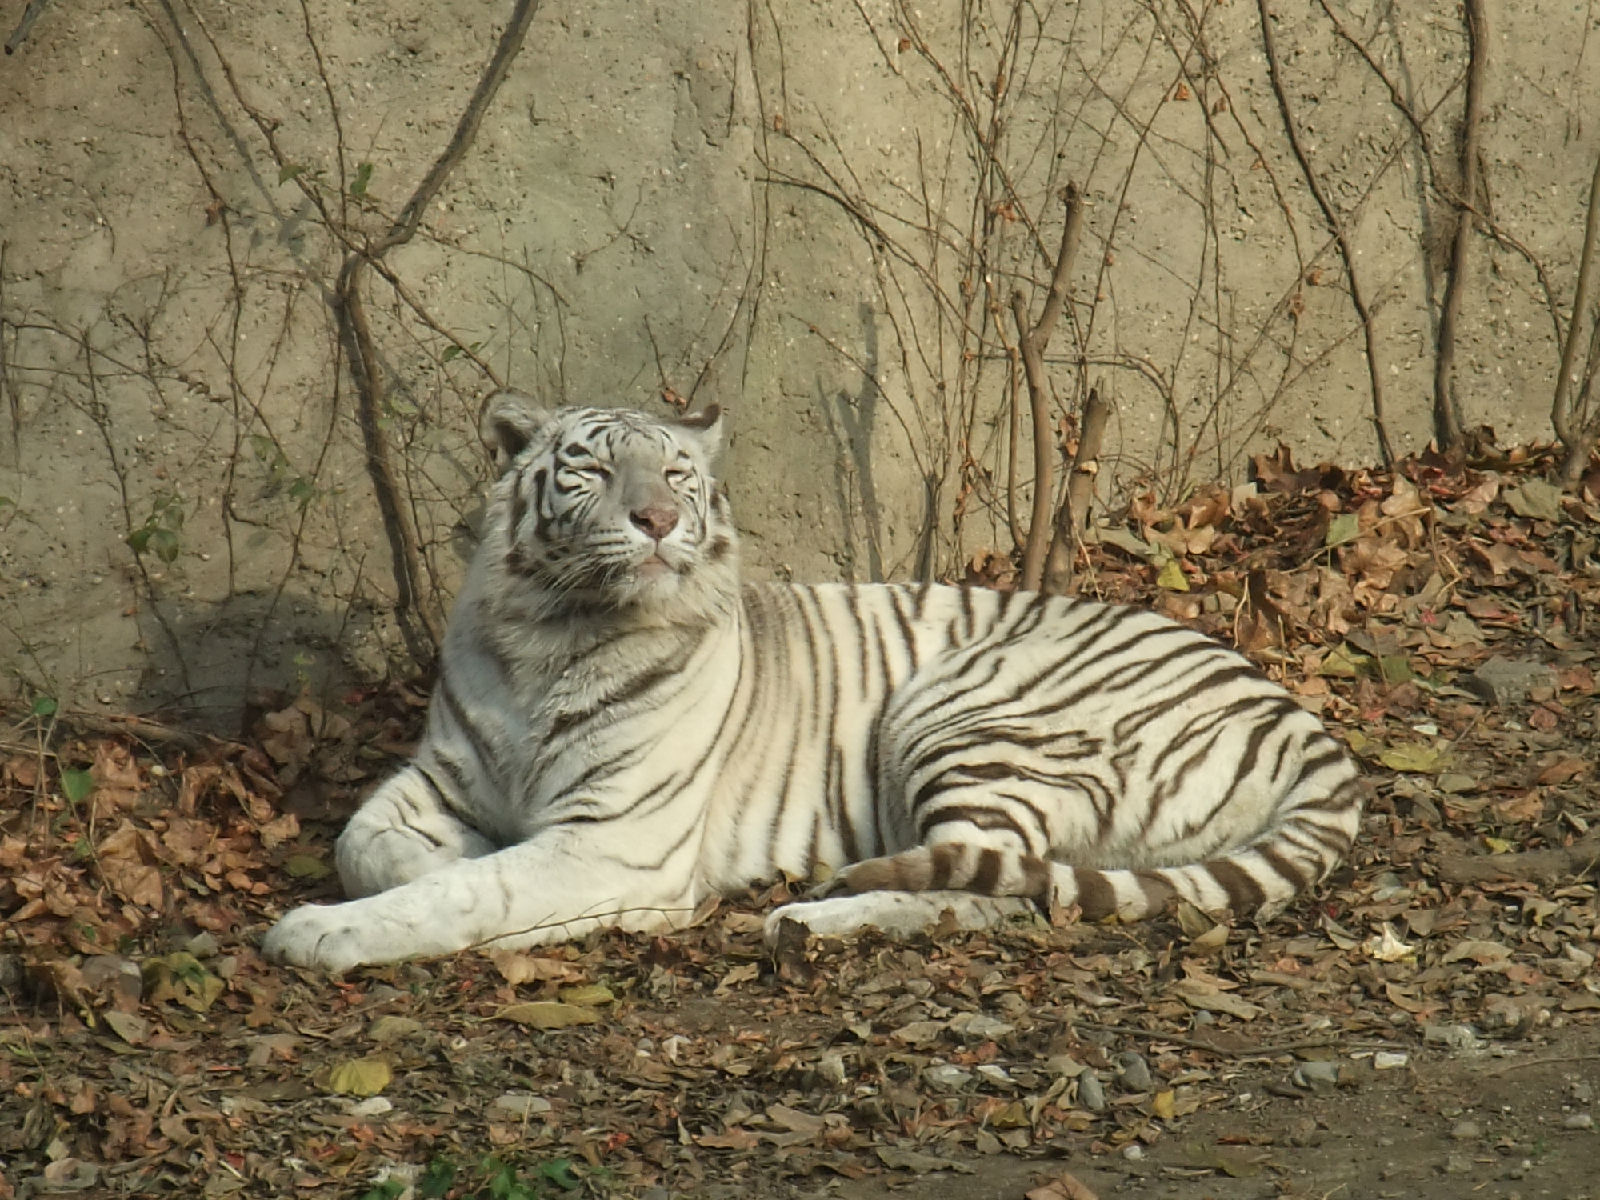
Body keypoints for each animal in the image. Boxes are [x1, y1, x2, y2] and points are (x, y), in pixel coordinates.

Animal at [262, 393, 1364, 973]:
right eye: (588, 471)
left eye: (676, 474)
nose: (659, 521)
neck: (552, 635)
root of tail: (1299, 719)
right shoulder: (440, 781)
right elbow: (368, 845)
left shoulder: (617, 840)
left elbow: (470, 890)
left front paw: (318, 931)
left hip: (964, 711)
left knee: (1004, 891)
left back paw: (809, 917)